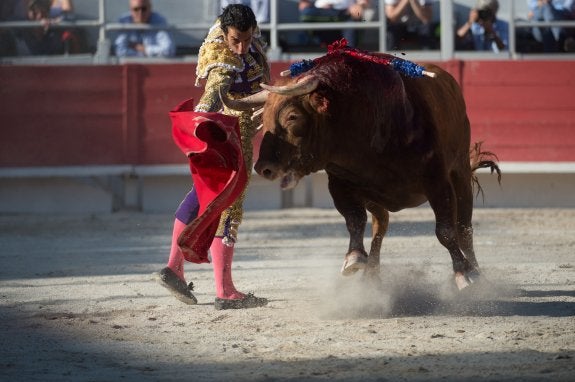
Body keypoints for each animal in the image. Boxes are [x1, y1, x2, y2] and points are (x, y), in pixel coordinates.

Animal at [223, 47, 502, 290]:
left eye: (292, 117)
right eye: (263, 118)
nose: (264, 168)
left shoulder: (437, 181)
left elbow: (445, 231)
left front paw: (464, 274)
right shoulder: (340, 183)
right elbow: (355, 220)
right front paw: (354, 258)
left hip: (460, 172)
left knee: (464, 228)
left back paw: (477, 272)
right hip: (376, 196)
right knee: (381, 224)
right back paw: (371, 274)